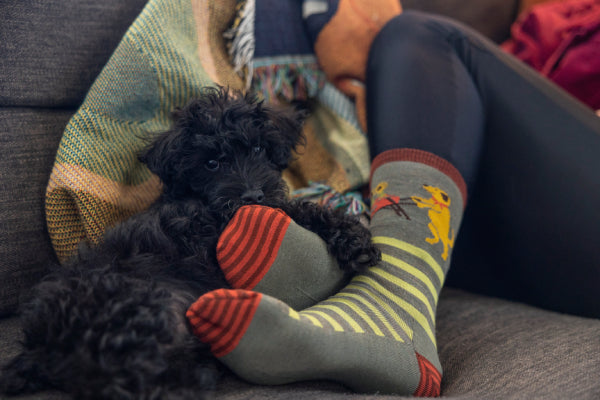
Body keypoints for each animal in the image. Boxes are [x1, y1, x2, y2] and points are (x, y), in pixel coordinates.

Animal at [1, 88, 380, 400]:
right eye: (211, 164)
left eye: (258, 149)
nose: (252, 195)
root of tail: (41, 350)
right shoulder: (210, 225)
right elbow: (291, 208)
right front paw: (354, 235)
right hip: (141, 311)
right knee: (141, 384)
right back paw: (202, 373)